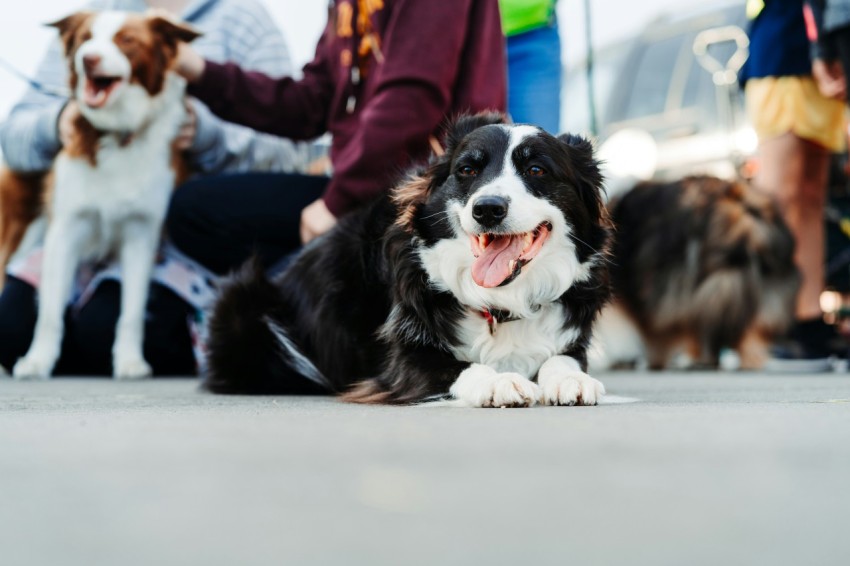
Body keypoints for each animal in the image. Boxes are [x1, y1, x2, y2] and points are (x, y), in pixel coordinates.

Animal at [8, 10, 197, 382]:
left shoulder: (142, 233)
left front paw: (130, 361)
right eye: (85, 39)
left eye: (126, 40)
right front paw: (38, 361)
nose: (88, 59)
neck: (117, 132)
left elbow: (131, 311)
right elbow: (49, 312)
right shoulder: (65, 229)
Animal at [204, 115, 608, 408]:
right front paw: (499, 381)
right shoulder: (404, 358)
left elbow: (563, 358)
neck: (500, 304)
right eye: (467, 170)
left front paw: (572, 379)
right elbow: (456, 366)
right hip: (241, 303)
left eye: (537, 170)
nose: (488, 208)